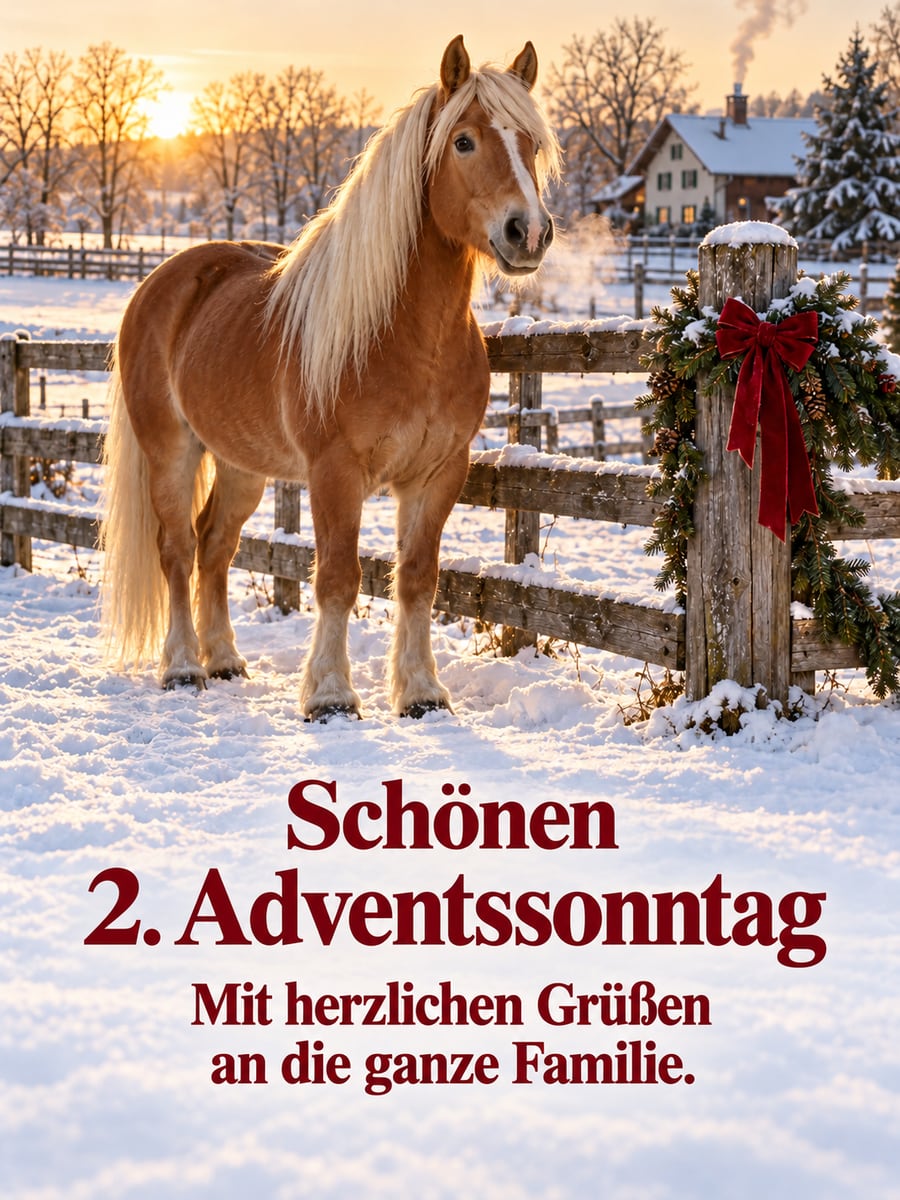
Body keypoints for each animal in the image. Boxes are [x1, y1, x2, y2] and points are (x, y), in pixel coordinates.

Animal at [100, 36, 560, 721]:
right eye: (464, 141)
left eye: (531, 142)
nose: (527, 231)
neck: (407, 337)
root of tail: (161, 283)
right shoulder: (335, 473)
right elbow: (339, 578)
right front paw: (330, 695)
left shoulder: (438, 473)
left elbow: (418, 577)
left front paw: (421, 692)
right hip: (171, 449)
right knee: (177, 549)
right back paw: (183, 666)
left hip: (241, 465)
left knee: (214, 546)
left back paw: (225, 659)